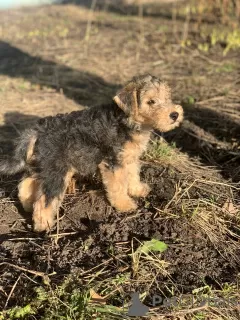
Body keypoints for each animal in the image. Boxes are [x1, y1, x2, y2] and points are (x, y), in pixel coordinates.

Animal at [0, 74, 183, 231]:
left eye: (168, 97)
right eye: (151, 101)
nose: (175, 114)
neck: (127, 120)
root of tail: (35, 131)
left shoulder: (128, 158)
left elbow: (133, 176)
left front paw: (137, 190)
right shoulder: (113, 163)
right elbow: (118, 186)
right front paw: (125, 205)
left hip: (44, 166)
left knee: (25, 185)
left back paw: (28, 207)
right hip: (57, 172)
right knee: (44, 200)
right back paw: (44, 226)